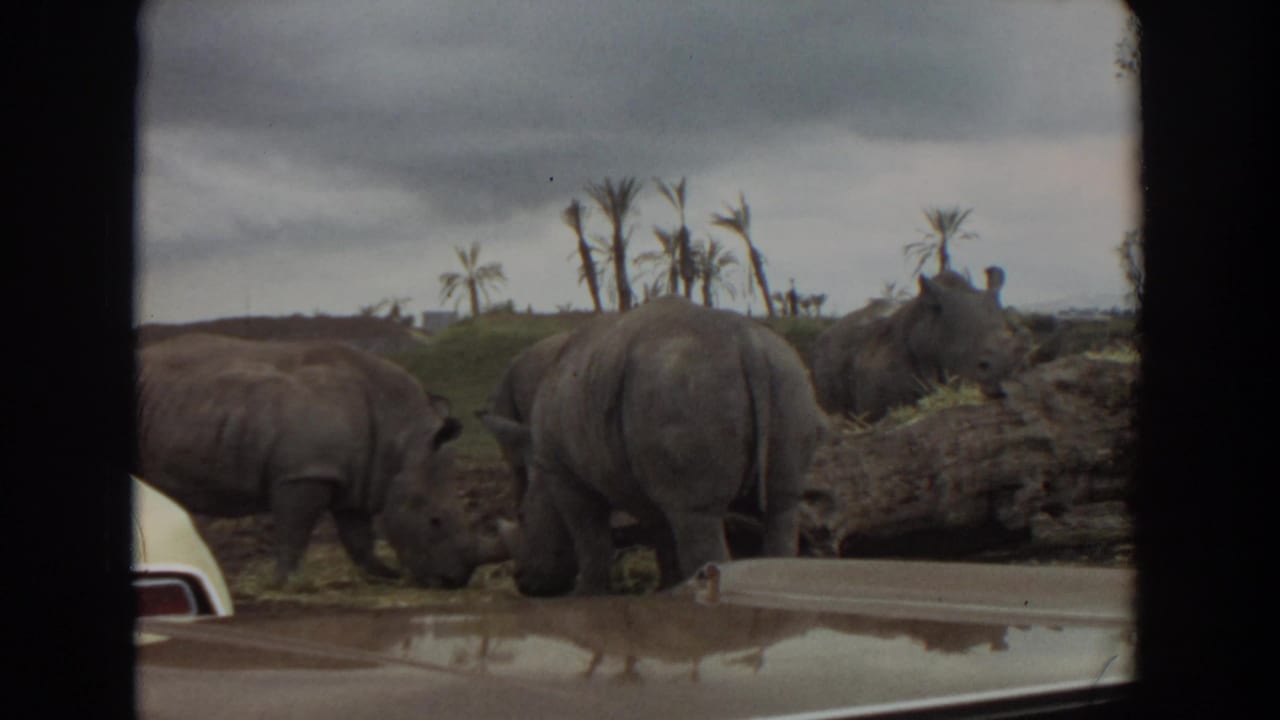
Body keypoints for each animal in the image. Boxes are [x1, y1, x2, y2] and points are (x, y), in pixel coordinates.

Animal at [137, 333, 497, 587]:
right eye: (435, 521)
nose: (454, 581)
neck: (403, 438)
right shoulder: (305, 473)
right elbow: (294, 532)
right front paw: (287, 584)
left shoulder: (358, 476)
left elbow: (358, 537)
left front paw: (385, 574)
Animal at [479, 297, 827, 596]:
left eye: (523, 516)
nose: (523, 582)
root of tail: (746, 342)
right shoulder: (645, 475)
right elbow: (662, 534)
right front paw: (667, 589)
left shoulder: (563, 473)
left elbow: (591, 537)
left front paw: (586, 593)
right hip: (787, 376)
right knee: (783, 504)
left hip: (686, 386)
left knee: (699, 517)